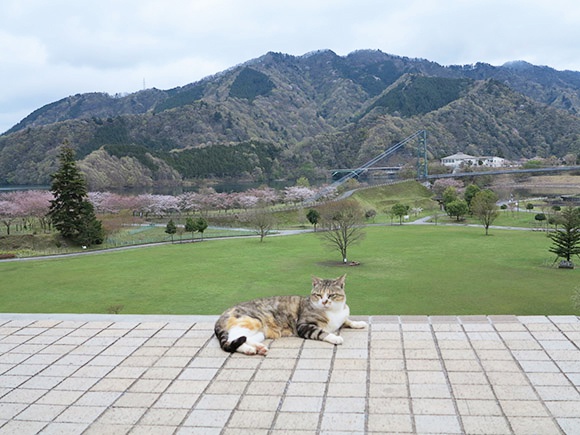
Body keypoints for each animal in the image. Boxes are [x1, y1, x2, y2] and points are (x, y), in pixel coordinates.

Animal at [213, 274, 368, 356]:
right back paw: (251, 349)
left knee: (243, 339)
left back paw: (257, 348)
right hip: (252, 321)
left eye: (331, 295)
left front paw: (359, 323)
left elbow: (347, 320)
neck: (334, 312)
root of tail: (221, 316)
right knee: (232, 338)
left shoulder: (342, 316)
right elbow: (322, 332)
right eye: (318, 295)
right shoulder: (303, 325)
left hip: (260, 333)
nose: (324, 301)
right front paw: (335, 337)